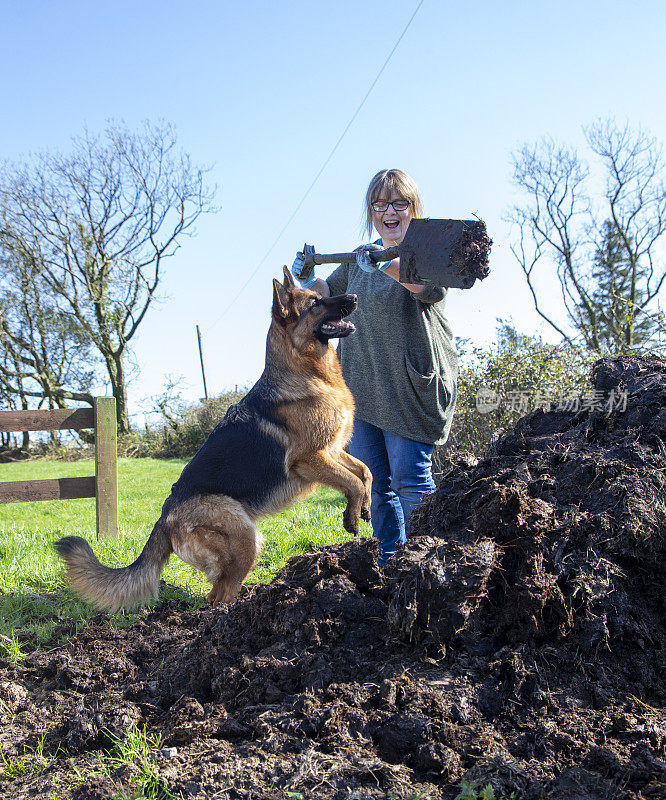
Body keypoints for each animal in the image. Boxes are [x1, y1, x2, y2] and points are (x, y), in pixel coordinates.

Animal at [54, 268, 370, 612]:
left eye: (320, 296)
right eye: (315, 303)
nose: (354, 297)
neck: (309, 373)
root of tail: (165, 517)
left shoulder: (333, 451)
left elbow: (364, 473)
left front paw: (364, 508)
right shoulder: (311, 459)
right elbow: (352, 482)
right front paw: (352, 518)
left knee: (215, 592)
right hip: (246, 537)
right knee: (220, 595)